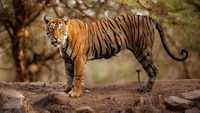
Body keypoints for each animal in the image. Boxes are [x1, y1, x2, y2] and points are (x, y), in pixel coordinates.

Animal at [43, 13, 188, 97]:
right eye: (52, 29)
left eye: (60, 29)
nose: (55, 38)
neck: (64, 43)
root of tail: (148, 17)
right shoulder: (67, 60)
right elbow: (69, 75)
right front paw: (67, 89)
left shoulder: (79, 59)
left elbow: (77, 77)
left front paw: (75, 93)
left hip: (142, 51)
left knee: (153, 70)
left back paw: (146, 90)